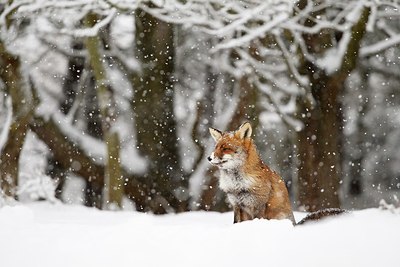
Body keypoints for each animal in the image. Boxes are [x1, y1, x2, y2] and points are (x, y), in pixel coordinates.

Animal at [206, 122, 344, 226]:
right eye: (216, 148)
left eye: (225, 148)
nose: (209, 158)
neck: (238, 184)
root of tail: (295, 225)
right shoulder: (236, 204)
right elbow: (236, 223)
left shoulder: (259, 205)